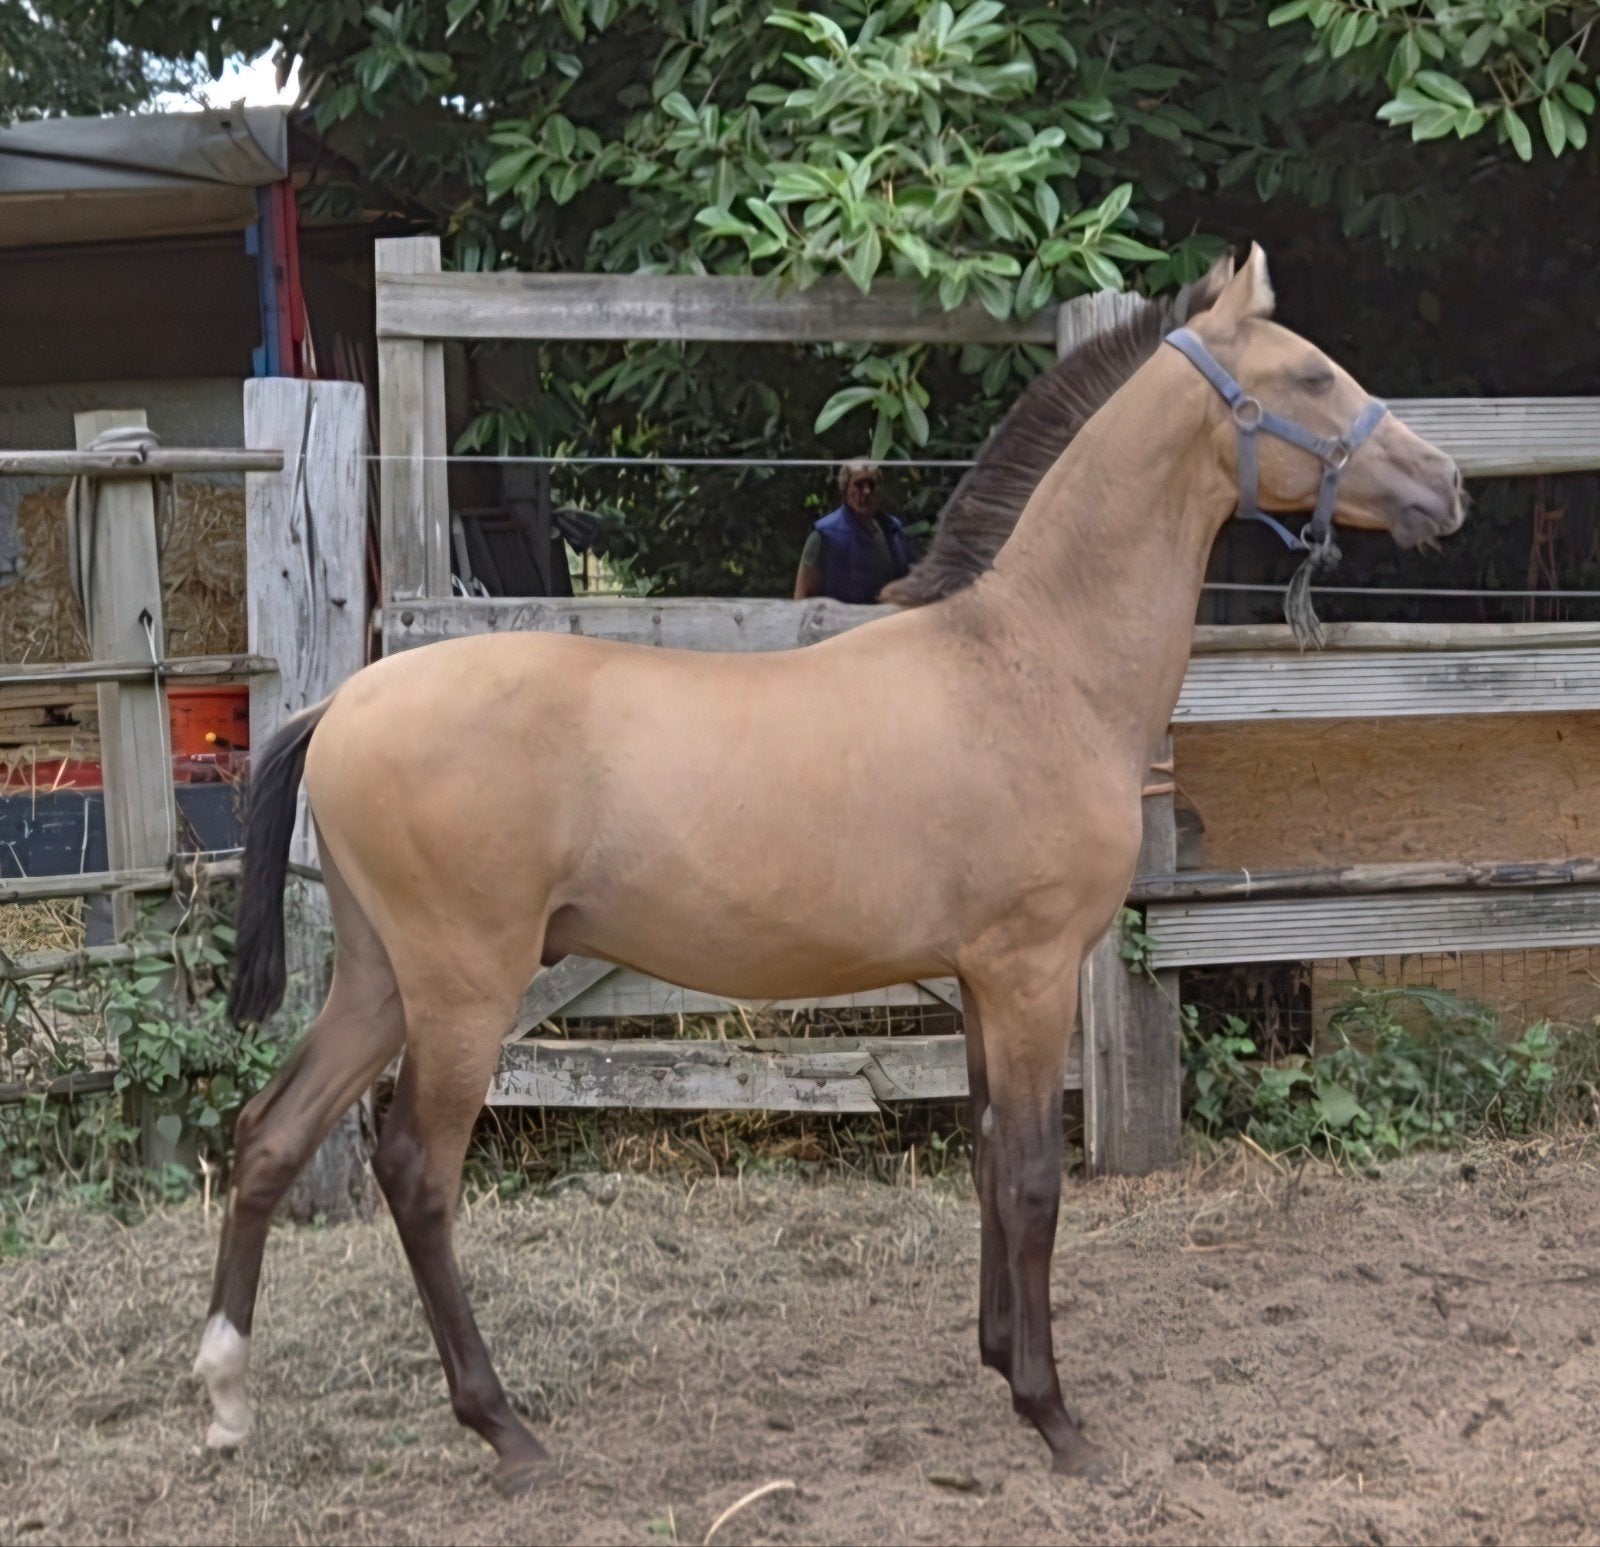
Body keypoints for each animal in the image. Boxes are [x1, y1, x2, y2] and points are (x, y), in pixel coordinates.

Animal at [195, 245, 1465, 1493]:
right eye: (1309, 376)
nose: (1445, 483)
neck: (1033, 663)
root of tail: (341, 702)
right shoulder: (1032, 969)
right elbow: (1033, 1175)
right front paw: (1052, 1413)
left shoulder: (976, 979)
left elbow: (986, 1153)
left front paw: (997, 1355)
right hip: (462, 989)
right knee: (415, 1170)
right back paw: (501, 1425)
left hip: (377, 979)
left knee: (269, 1132)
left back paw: (226, 1393)